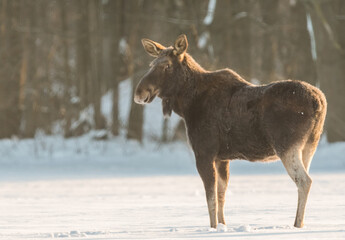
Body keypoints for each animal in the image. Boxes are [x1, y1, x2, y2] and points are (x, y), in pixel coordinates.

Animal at [133, 34, 326, 230]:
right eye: (151, 64)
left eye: (166, 65)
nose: (139, 93)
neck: (187, 105)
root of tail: (319, 102)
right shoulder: (222, 157)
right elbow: (221, 195)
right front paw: (222, 226)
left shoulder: (204, 153)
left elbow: (211, 197)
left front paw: (212, 228)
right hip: (309, 146)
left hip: (286, 146)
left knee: (304, 181)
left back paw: (297, 224)